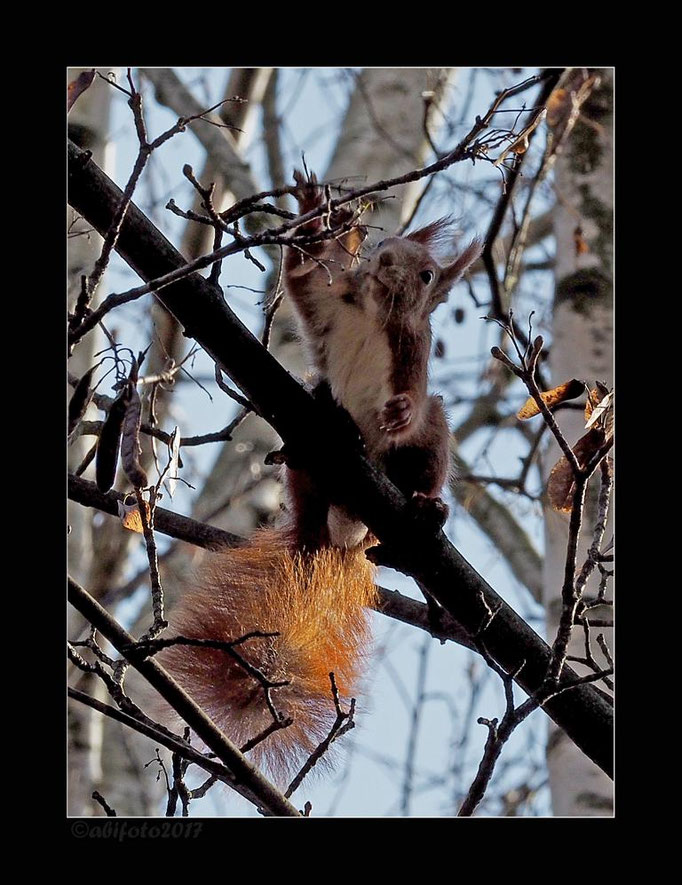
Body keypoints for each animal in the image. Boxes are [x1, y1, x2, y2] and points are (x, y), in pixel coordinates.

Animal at [160, 171, 482, 783]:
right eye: (385, 244)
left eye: (428, 274)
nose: (383, 261)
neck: (376, 313)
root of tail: (336, 530)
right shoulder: (329, 305)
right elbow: (303, 281)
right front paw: (313, 221)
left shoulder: (412, 356)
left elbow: (408, 395)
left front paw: (398, 412)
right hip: (308, 457)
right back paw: (332, 431)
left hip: (428, 440)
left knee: (427, 448)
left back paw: (427, 504)